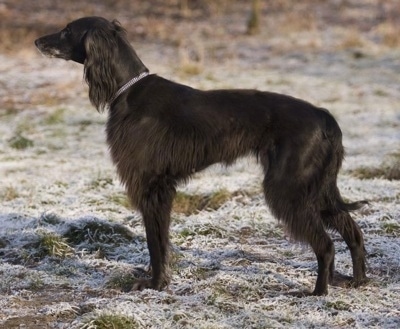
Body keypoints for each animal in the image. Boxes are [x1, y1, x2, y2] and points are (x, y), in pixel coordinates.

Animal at [35, 16, 368, 294]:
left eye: (67, 30)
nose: (37, 41)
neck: (128, 91)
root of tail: (324, 116)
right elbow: (161, 241)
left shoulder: (152, 186)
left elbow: (155, 241)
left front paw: (155, 285)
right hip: (317, 188)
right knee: (353, 231)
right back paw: (359, 280)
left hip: (290, 188)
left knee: (326, 245)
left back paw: (318, 293)